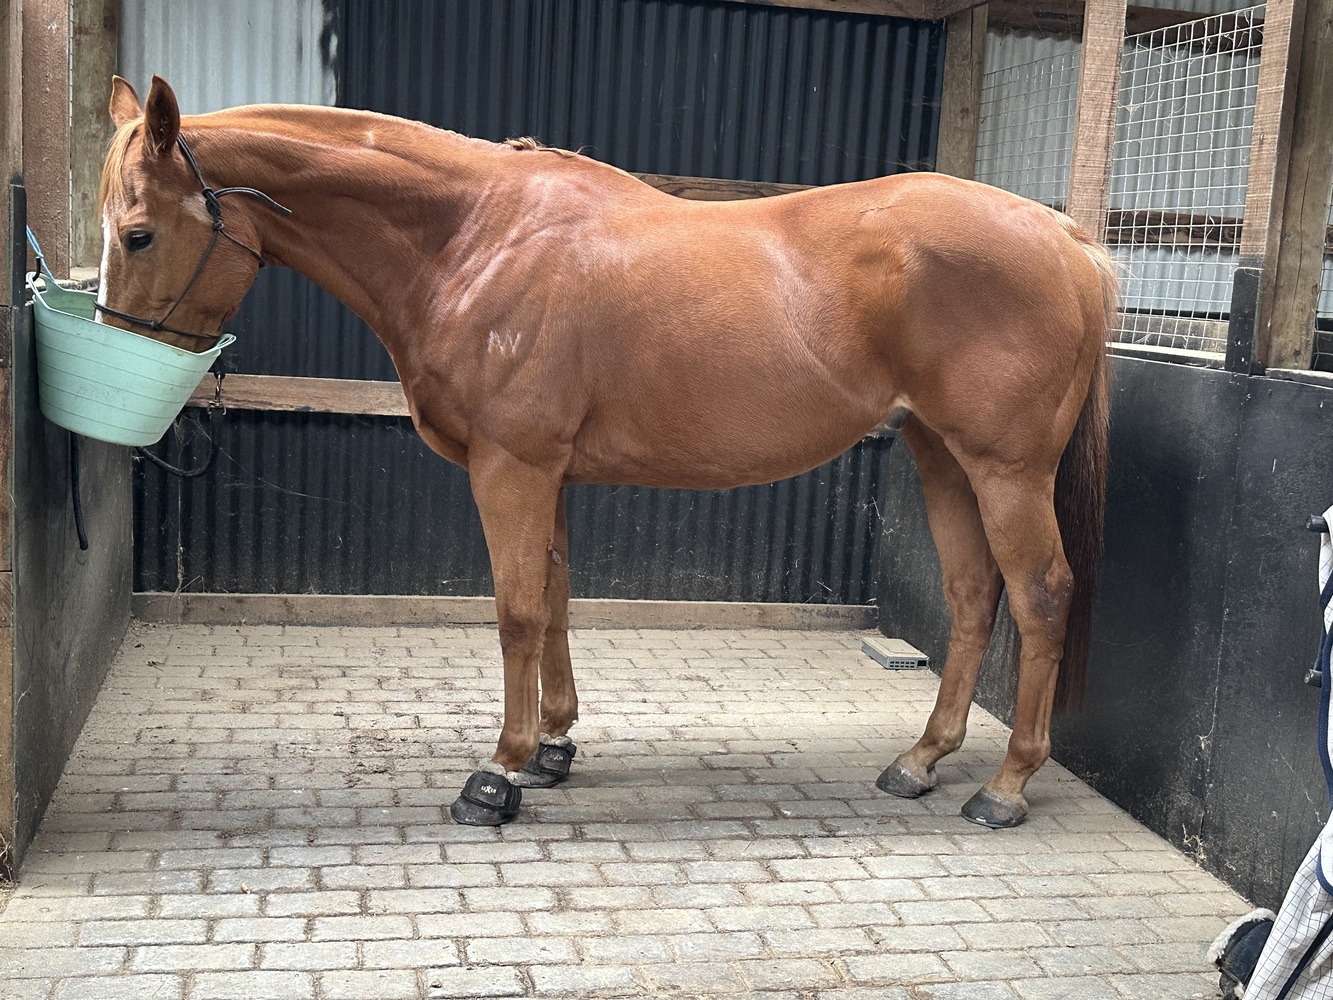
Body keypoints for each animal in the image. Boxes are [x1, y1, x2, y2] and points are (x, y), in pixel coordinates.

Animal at [97, 75, 1113, 829]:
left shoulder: (512, 467)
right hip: (941, 457)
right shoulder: (547, 473)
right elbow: (553, 599)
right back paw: (921, 759)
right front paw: (551, 748)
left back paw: (1005, 787)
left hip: (1005, 470)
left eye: (138, 233)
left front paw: (495, 775)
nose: (119, 351)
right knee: (972, 596)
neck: (473, 239)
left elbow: (514, 611)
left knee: (1040, 595)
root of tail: (1061, 237)